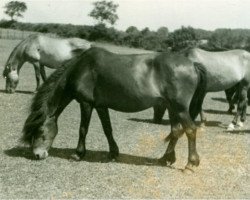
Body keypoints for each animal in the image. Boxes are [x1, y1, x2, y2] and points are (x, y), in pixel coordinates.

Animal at [22, 47, 207, 172]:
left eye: (40, 131)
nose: (37, 155)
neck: (81, 69)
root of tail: (192, 65)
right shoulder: (101, 106)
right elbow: (107, 129)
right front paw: (113, 153)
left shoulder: (86, 103)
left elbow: (83, 129)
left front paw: (78, 154)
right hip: (172, 108)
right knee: (176, 131)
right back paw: (165, 159)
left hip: (180, 108)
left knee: (190, 130)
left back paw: (190, 164)